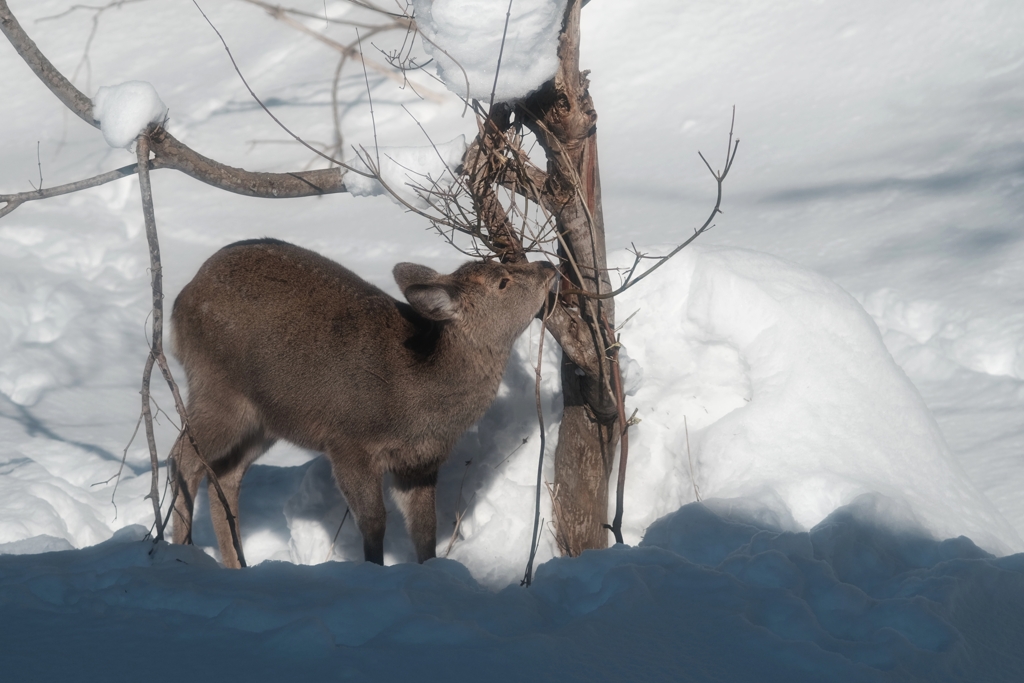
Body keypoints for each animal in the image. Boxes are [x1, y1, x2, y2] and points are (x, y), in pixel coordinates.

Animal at [169, 237, 552, 569]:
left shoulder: (420, 462)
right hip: (217, 388)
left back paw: (234, 564)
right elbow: (374, 522)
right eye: (502, 282)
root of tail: (179, 301)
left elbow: (424, 528)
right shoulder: (349, 442)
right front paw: (373, 571)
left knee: (224, 473)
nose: (547, 266)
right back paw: (181, 549)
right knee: (182, 456)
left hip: (265, 418)